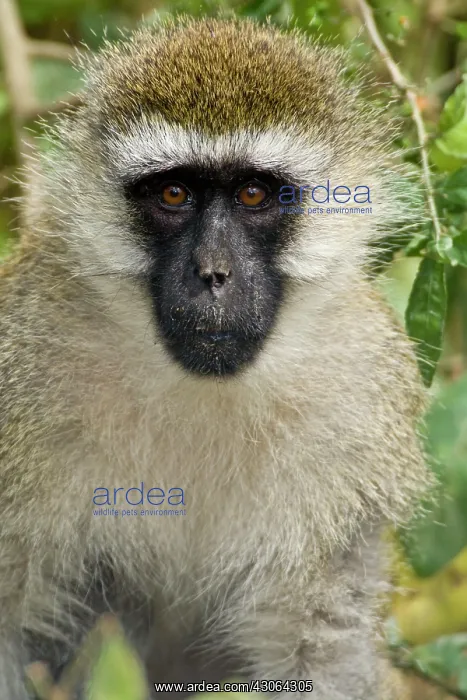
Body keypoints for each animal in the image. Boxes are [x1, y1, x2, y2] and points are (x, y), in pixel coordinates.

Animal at [0, 16, 429, 700]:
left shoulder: (360, 395)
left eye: (254, 194)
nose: (213, 274)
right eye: (174, 193)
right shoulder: (26, 365)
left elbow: (323, 647)